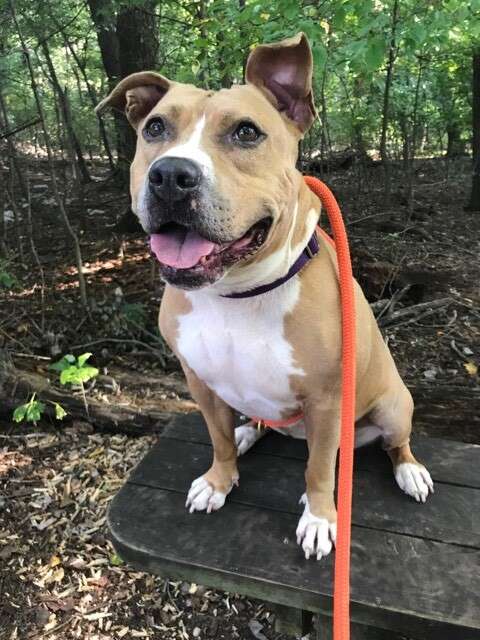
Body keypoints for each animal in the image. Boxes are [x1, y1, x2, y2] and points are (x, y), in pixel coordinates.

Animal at [96, 32, 432, 560]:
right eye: (155, 127)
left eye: (247, 133)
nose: (170, 175)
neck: (237, 293)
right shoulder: (199, 381)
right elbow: (216, 438)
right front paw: (219, 480)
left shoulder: (326, 399)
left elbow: (319, 467)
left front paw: (319, 516)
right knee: (256, 425)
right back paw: (248, 433)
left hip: (394, 406)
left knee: (390, 444)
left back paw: (409, 471)